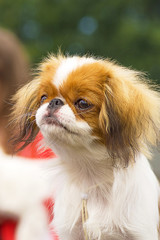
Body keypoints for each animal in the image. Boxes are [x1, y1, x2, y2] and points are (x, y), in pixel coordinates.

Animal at [11, 54, 160, 240]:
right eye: (43, 98)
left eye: (82, 103)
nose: (54, 102)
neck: (90, 174)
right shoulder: (70, 233)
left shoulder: (141, 231)